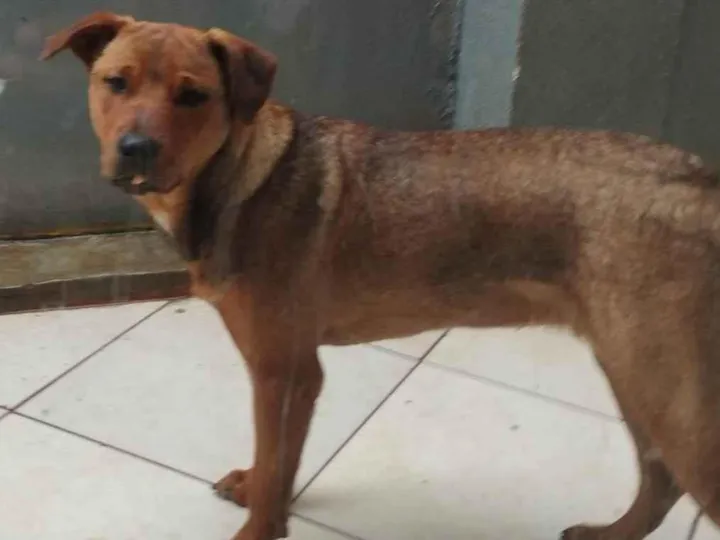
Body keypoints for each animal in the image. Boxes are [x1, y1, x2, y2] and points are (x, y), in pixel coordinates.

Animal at [41, 12, 720, 540]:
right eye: (116, 82)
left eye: (193, 96)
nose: (136, 150)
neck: (234, 178)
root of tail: (699, 177)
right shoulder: (300, 372)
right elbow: (281, 465)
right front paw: (266, 496)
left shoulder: (277, 370)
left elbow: (273, 459)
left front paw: (260, 527)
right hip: (633, 375)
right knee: (659, 479)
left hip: (669, 393)